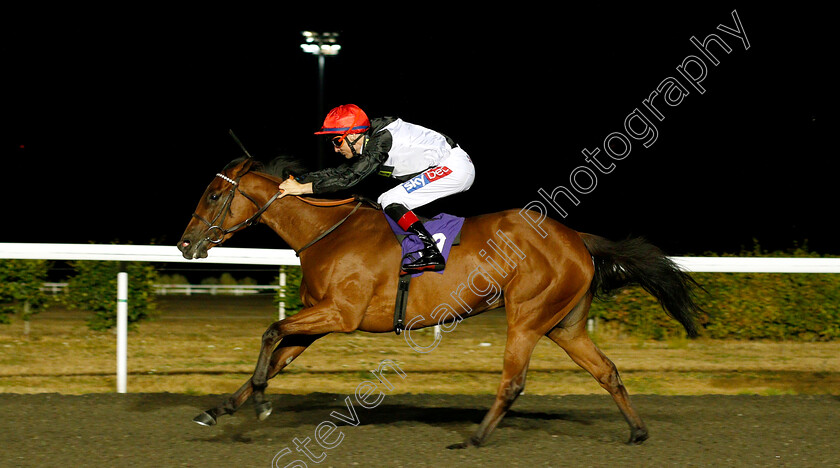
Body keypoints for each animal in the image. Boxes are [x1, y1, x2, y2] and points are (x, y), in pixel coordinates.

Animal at [177, 155, 704, 448]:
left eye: (211, 195)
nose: (185, 245)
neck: (327, 232)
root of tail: (576, 238)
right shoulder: (319, 320)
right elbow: (274, 354)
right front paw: (220, 409)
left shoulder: (339, 315)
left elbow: (270, 333)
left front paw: (261, 404)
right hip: (564, 325)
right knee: (606, 371)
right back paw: (637, 432)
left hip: (528, 316)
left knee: (513, 382)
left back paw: (474, 439)